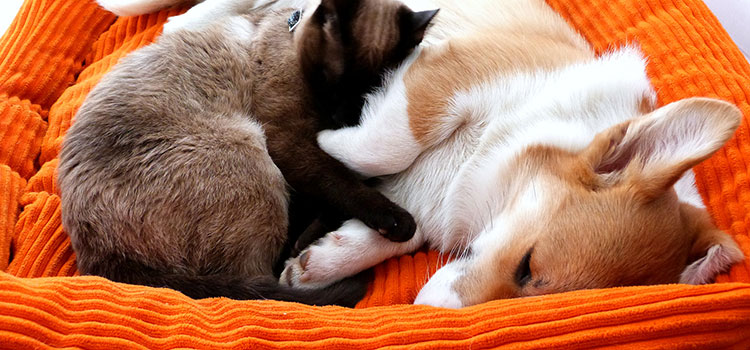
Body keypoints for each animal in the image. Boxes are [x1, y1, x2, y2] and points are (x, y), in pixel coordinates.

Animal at [280, 0, 748, 308]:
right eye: (527, 265)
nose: (428, 313)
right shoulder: (452, 74)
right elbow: (388, 146)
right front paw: (327, 140)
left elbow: (404, 225)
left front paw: (325, 258)